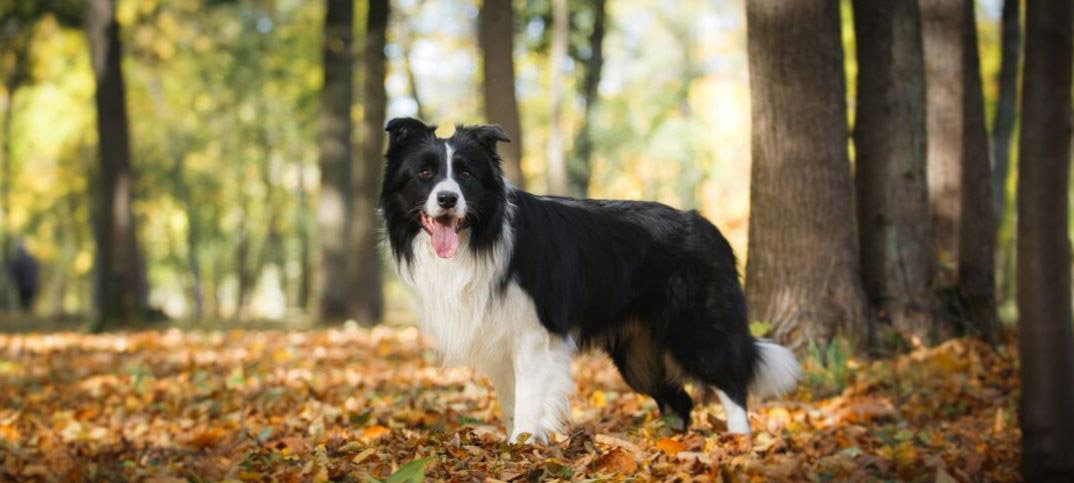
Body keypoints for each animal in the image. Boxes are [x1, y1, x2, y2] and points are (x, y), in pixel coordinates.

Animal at [380, 116, 799, 442]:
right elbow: (511, 401)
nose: (448, 199)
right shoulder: (497, 338)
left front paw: (522, 446)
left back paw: (739, 442)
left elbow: (529, 401)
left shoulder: (533, 335)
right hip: (638, 355)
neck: (481, 236)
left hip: (695, 329)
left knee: (732, 385)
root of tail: (708, 226)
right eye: (425, 173)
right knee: (680, 400)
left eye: (465, 174)